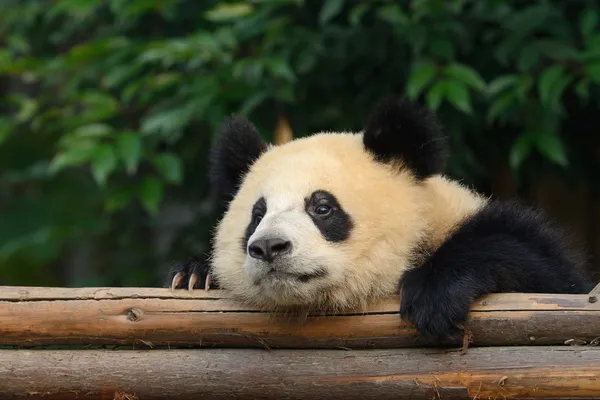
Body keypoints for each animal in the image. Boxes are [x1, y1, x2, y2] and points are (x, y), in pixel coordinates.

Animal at [166, 95, 592, 342]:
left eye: (322, 207)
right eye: (257, 215)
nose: (269, 247)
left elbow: (547, 274)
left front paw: (435, 294)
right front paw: (195, 275)